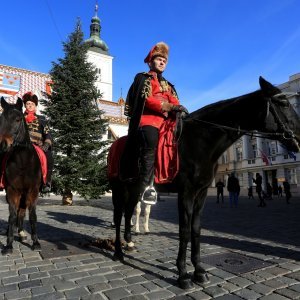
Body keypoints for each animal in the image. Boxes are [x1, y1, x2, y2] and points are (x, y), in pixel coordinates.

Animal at [0, 97, 42, 254]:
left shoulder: (32, 191)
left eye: (18, 119)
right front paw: (8, 244)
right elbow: (12, 216)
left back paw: (22, 233)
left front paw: (36, 242)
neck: (22, 161)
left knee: (22, 212)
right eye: (1, 119)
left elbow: (32, 215)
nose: (3, 145)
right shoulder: (12, 190)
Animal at [109, 77, 300, 288]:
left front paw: (199, 271)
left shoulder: (201, 193)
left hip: (134, 189)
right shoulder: (186, 193)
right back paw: (118, 251)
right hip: (119, 189)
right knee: (118, 215)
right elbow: (184, 231)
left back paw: (129, 244)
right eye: (283, 103)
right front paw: (183, 274)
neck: (199, 141)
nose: (299, 135)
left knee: (128, 213)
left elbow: (196, 229)